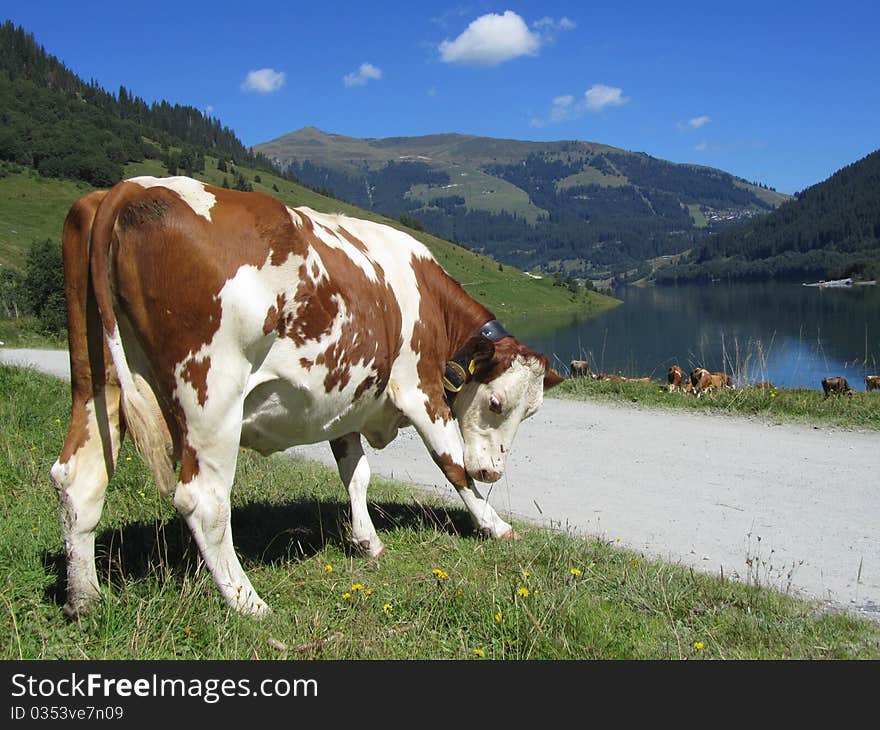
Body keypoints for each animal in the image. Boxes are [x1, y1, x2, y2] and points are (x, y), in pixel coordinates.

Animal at [51, 176, 564, 616]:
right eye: (496, 403)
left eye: (531, 413)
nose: (493, 471)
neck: (426, 296)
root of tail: (132, 187)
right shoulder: (421, 390)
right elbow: (451, 465)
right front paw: (496, 526)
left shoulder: (345, 403)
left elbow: (356, 475)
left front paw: (367, 541)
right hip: (210, 396)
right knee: (203, 499)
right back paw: (248, 603)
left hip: (97, 382)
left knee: (78, 477)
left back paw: (85, 598)